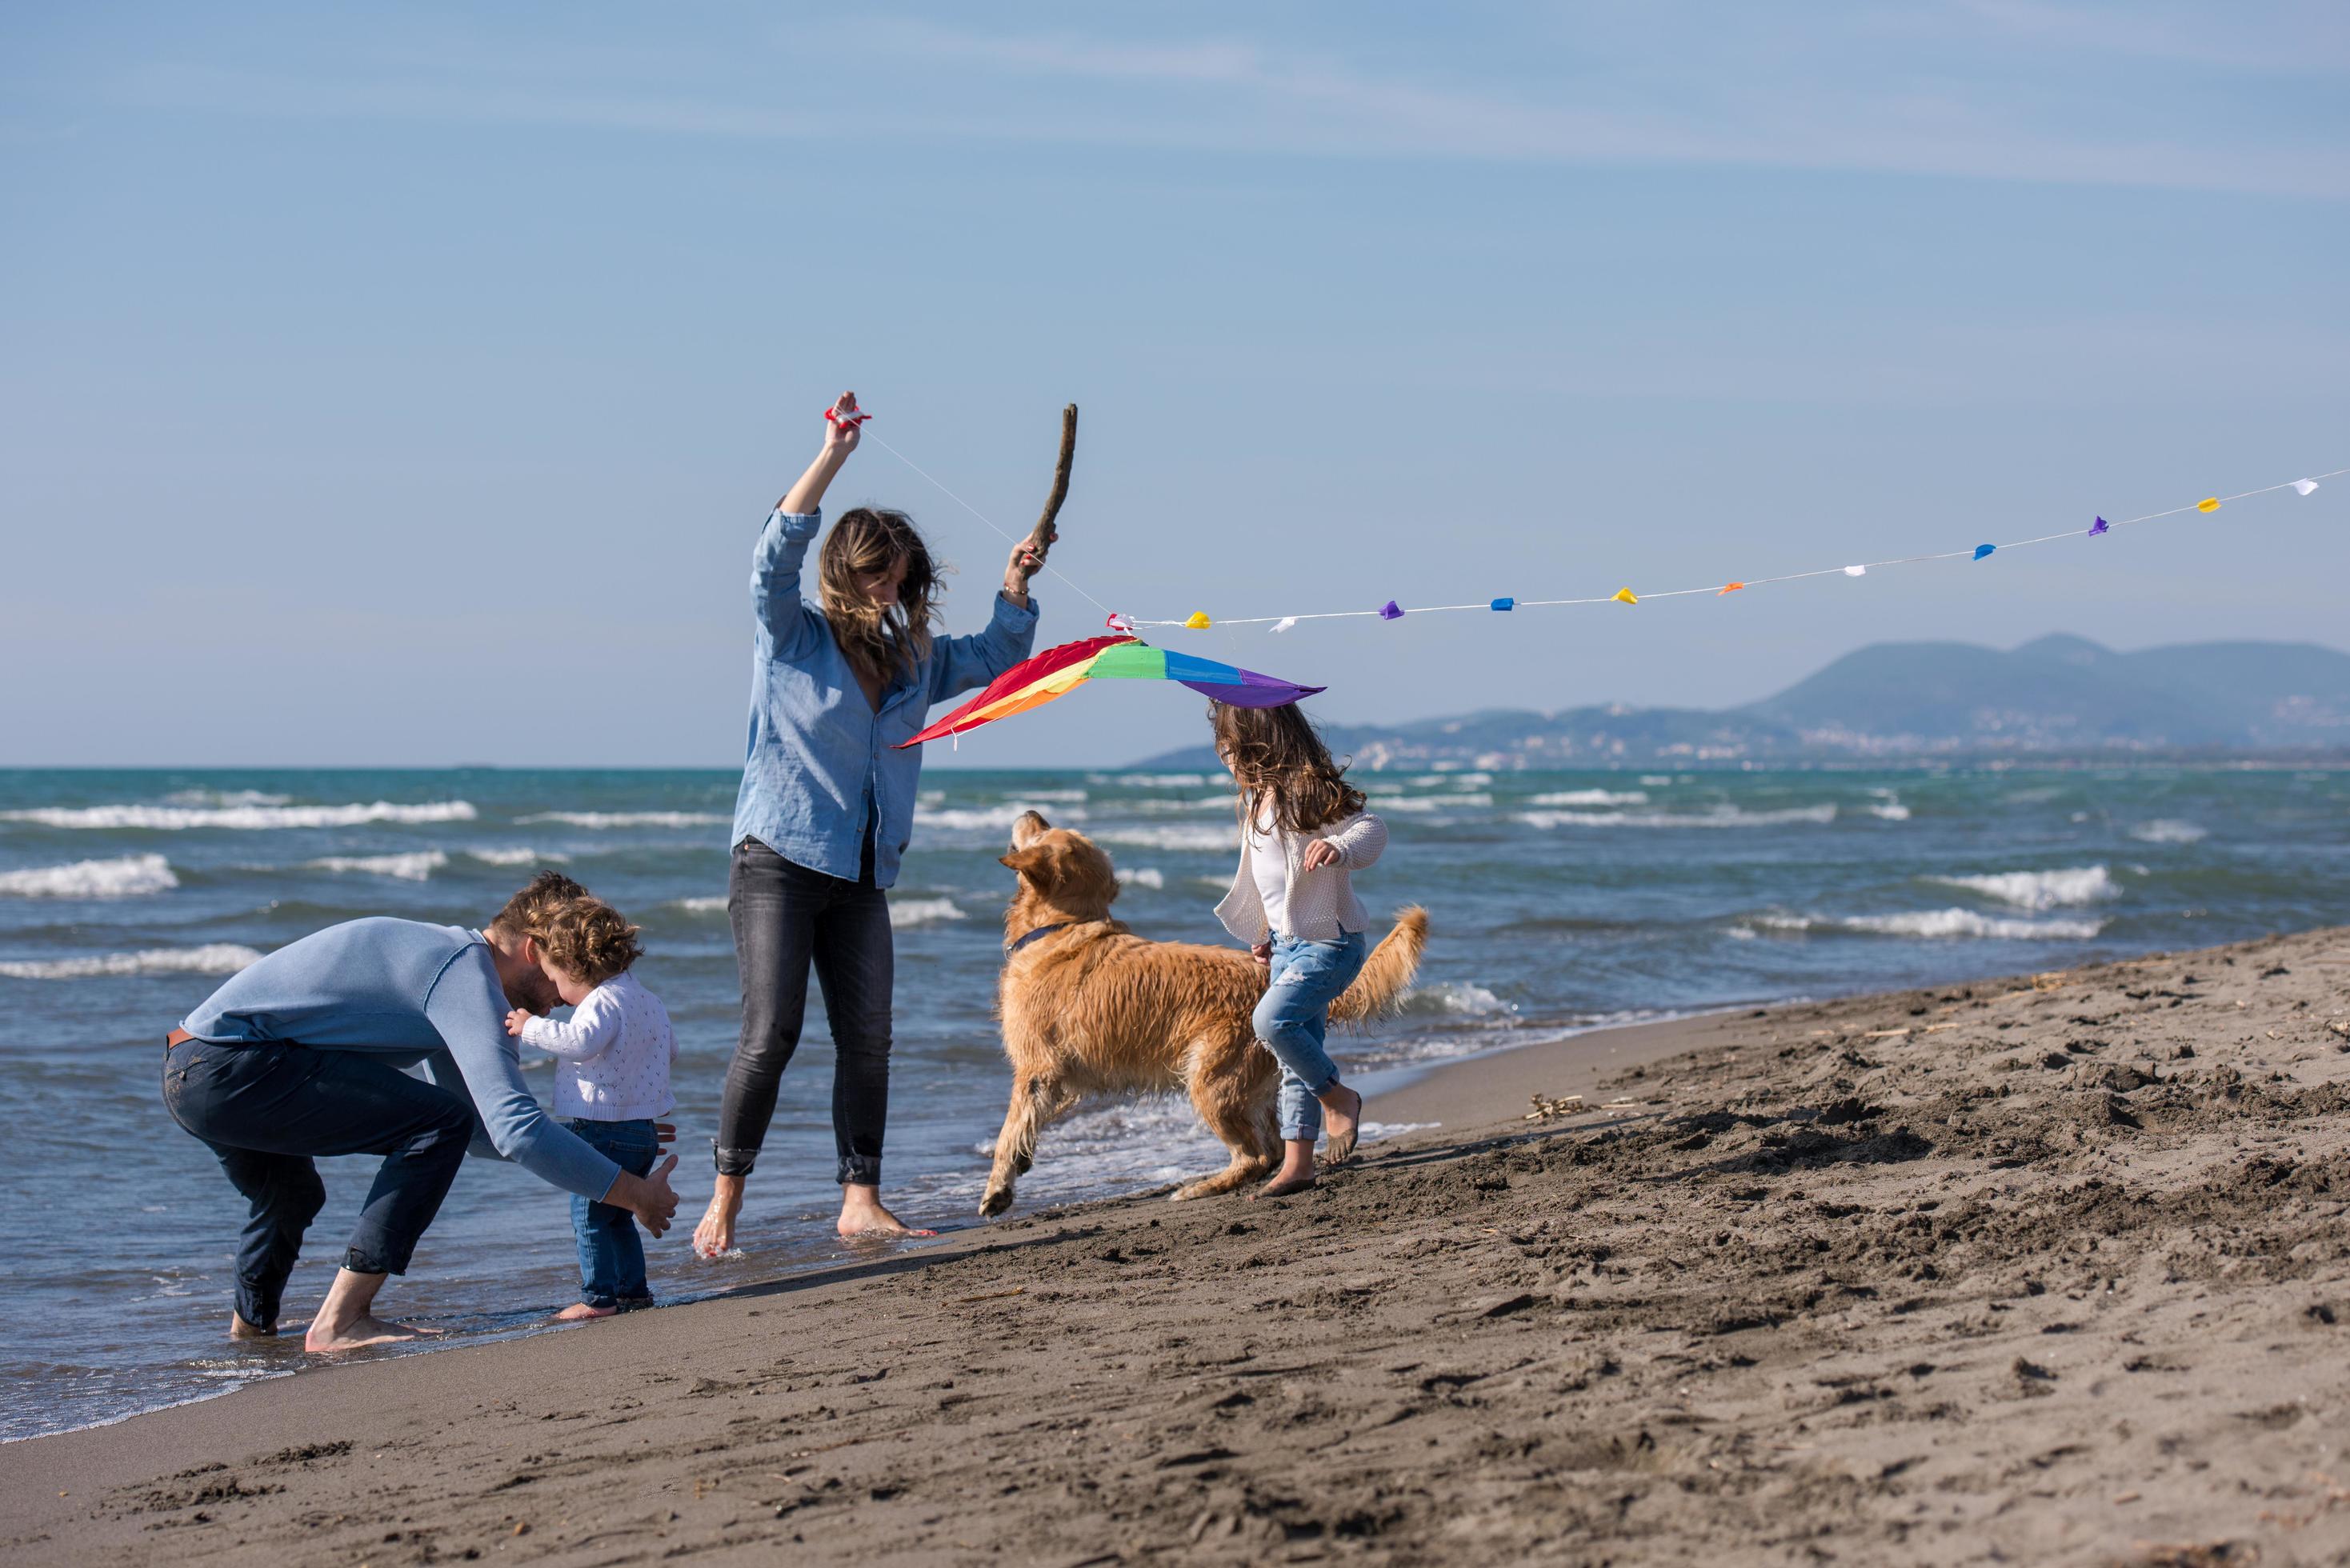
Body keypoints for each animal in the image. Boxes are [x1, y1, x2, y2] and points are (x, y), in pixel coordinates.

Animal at [977, 808, 1419, 1213]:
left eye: (1043, 832)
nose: (1032, 811)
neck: (1064, 926)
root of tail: (1274, 980)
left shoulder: (1036, 1068)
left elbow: (1008, 1131)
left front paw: (997, 1189)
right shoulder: (1063, 1075)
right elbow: (1029, 1124)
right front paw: (1023, 1160)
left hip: (1209, 1080)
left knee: (1255, 1155)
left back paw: (1198, 1188)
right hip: (1254, 1079)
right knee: (1274, 1148)